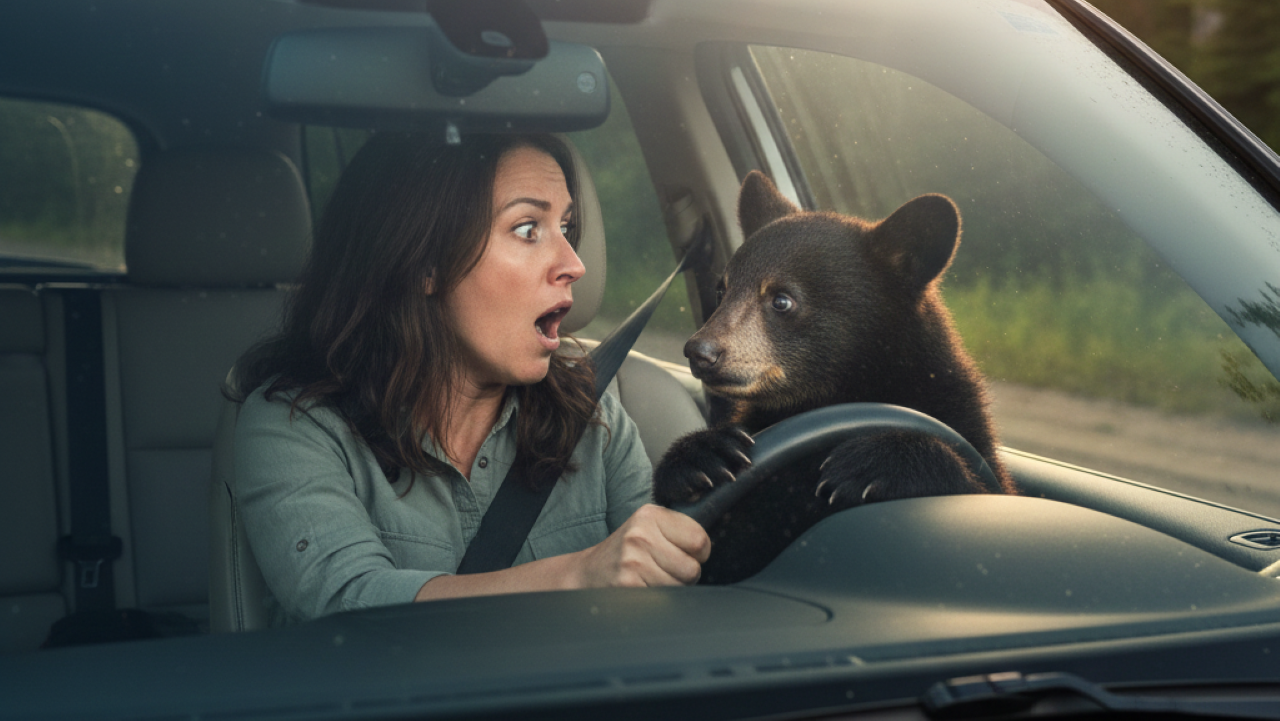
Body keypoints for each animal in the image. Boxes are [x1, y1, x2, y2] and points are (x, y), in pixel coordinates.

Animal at [653, 170, 1016, 585]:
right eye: (721, 290)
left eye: (782, 299)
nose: (700, 352)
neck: (832, 397)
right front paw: (702, 455)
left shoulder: (963, 422)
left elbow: (982, 485)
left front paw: (870, 464)